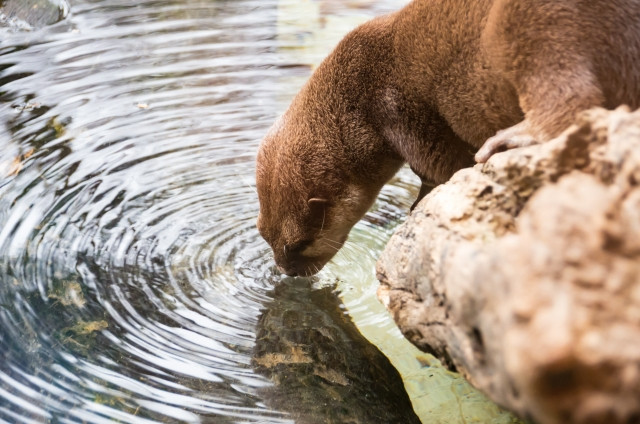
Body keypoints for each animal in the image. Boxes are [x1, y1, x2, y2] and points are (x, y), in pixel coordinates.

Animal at [256, 0, 640, 277]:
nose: (286, 272)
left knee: (571, 102)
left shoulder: (401, 114)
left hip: (529, 27)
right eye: (263, 235)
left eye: (300, 244)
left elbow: (442, 170)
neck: (360, 96)